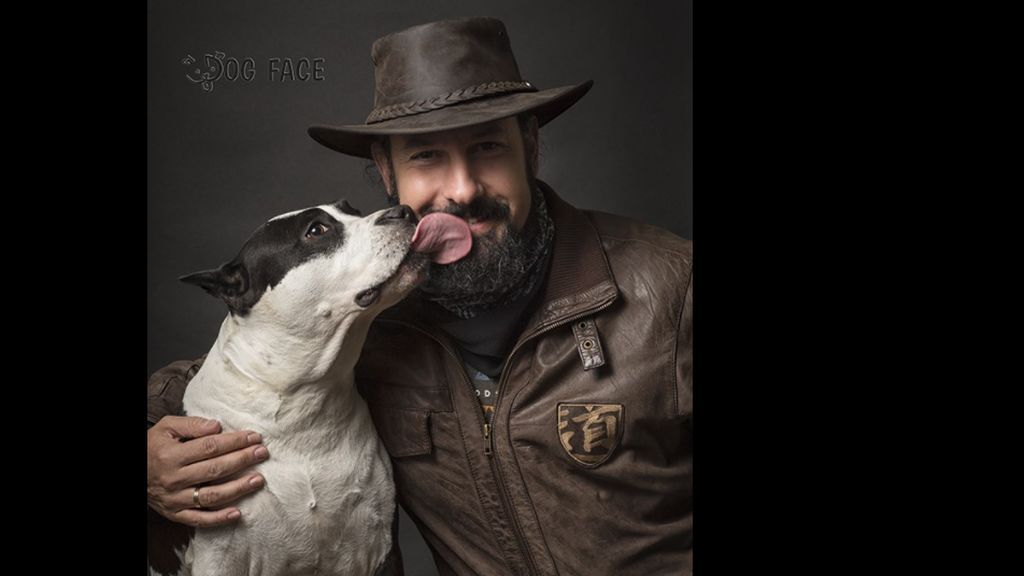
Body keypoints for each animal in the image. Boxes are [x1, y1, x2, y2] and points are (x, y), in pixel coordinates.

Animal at [150, 199, 468, 573]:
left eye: (352, 209)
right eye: (316, 231)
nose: (403, 210)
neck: (301, 403)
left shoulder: (379, 549)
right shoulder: (220, 558)